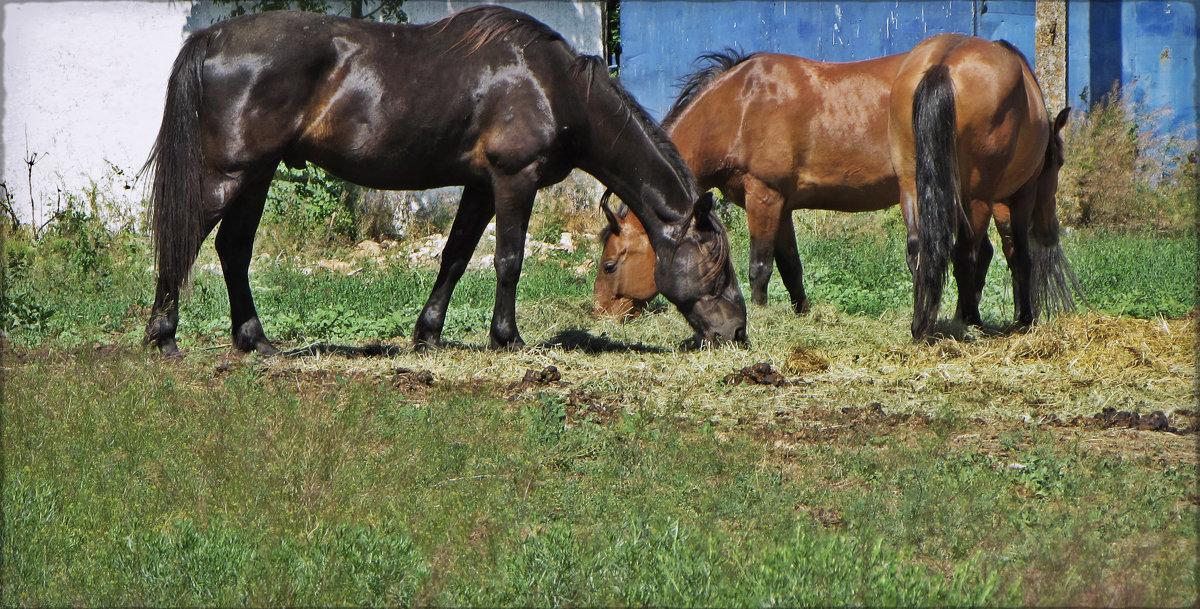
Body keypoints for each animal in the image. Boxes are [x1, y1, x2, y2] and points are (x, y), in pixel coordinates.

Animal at [140, 5, 739, 357]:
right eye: (716, 262)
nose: (738, 333)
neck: (552, 85)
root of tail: (211, 38)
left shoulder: (480, 186)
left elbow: (455, 256)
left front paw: (426, 335)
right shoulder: (513, 179)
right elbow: (508, 260)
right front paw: (508, 338)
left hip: (257, 174)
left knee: (233, 248)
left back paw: (255, 342)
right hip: (228, 174)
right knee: (184, 240)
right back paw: (164, 339)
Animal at [595, 33, 1075, 340]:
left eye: (611, 263)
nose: (600, 312)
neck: (740, 104)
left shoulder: (764, 197)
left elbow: (760, 266)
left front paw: (762, 315)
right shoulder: (781, 204)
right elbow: (790, 265)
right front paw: (801, 312)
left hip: (992, 196)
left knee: (997, 252)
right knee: (980, 252)